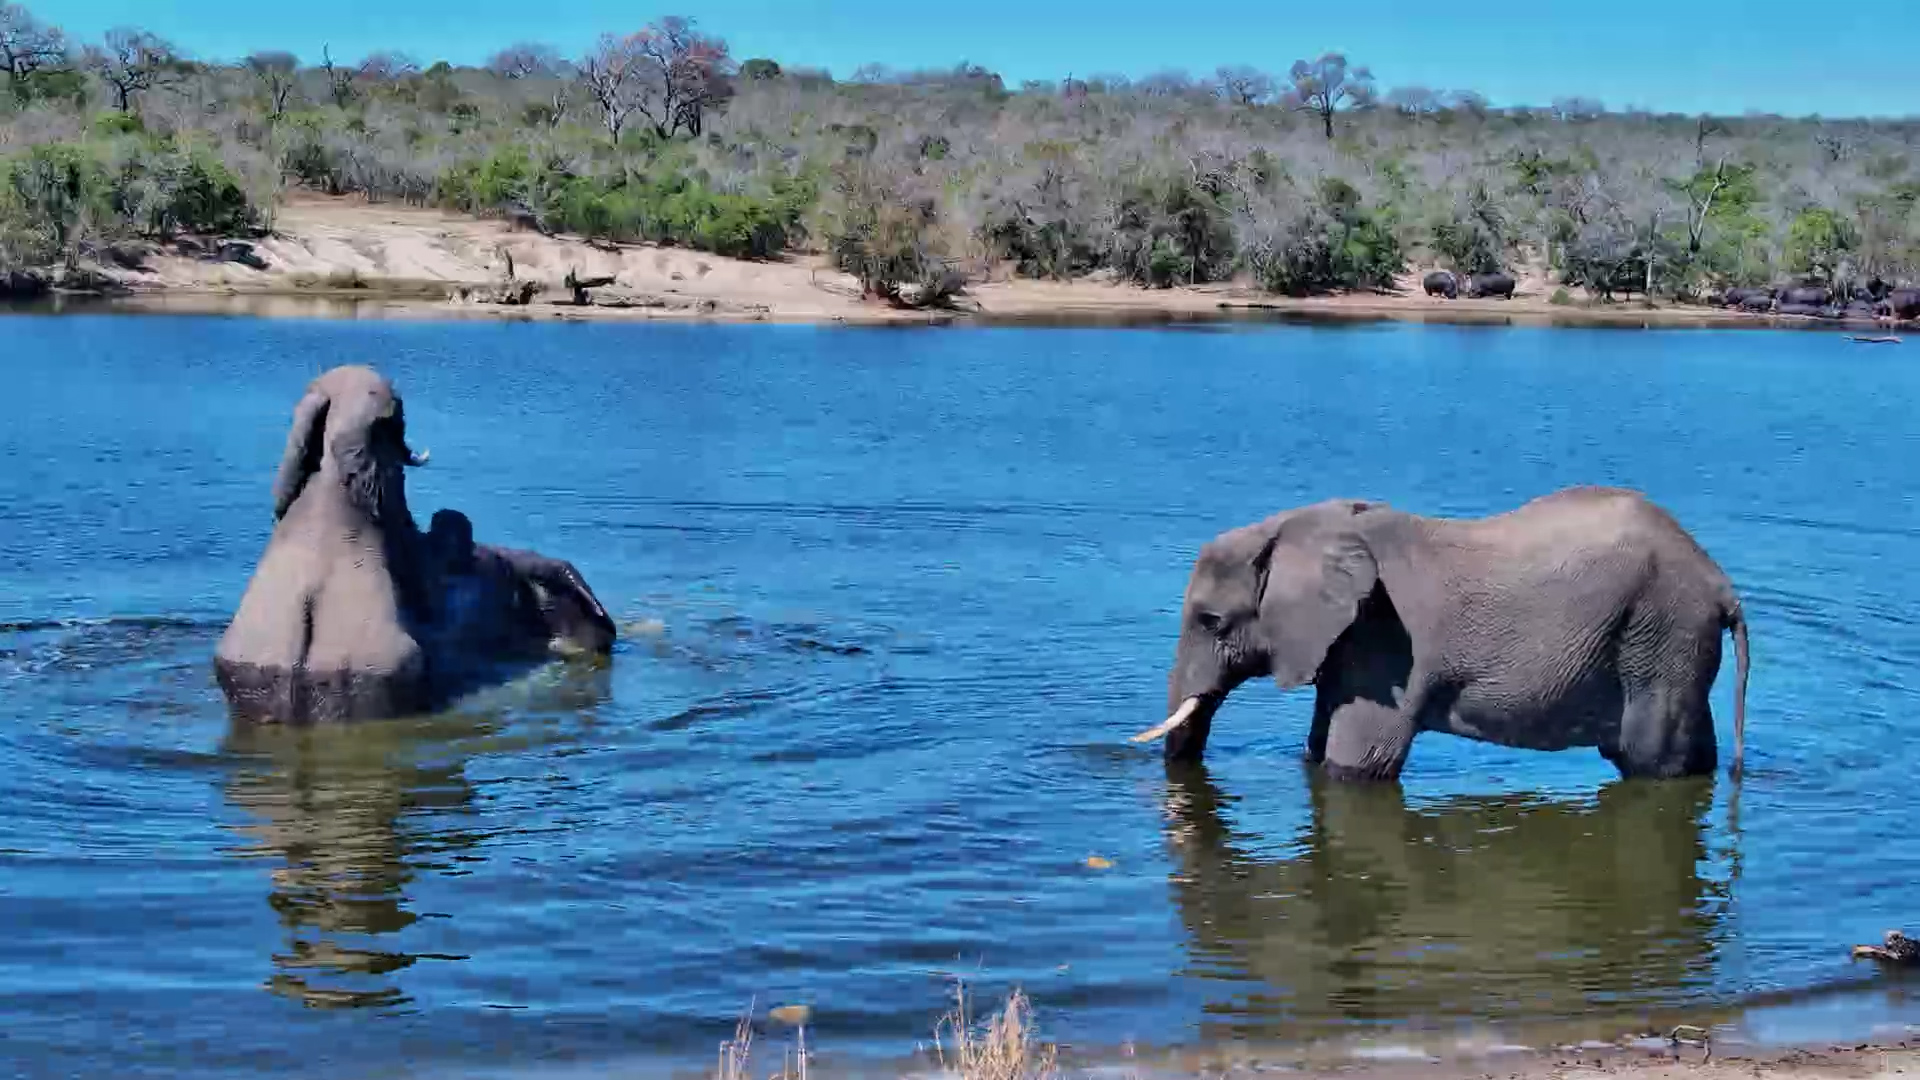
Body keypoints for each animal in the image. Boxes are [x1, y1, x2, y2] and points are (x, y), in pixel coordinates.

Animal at [1133, 486, 1751, 781]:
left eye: (1212, 622)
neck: (1298, 528)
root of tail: (1722, 584)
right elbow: (1317, 746)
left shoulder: (1385, 638)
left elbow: (1358, 761)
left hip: (1661, 634)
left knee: (1652, 760)